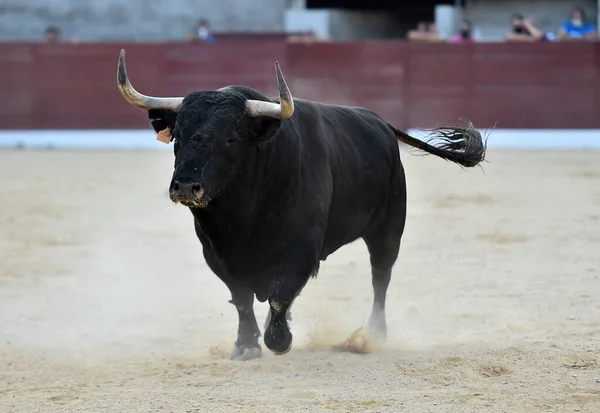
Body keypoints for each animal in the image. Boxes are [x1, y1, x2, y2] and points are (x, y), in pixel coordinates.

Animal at [115, 49, 486, 360]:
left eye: (231, 138)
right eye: (176, 135)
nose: (186, 187)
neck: (242, 213)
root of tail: (381, 123)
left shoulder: (304, 245)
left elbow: (280, 293)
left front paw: (279, 341)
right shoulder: (215, 252)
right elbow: (242, 298)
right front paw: (246, 346)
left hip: (388, 229)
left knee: (381, 276)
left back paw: (373, 336)